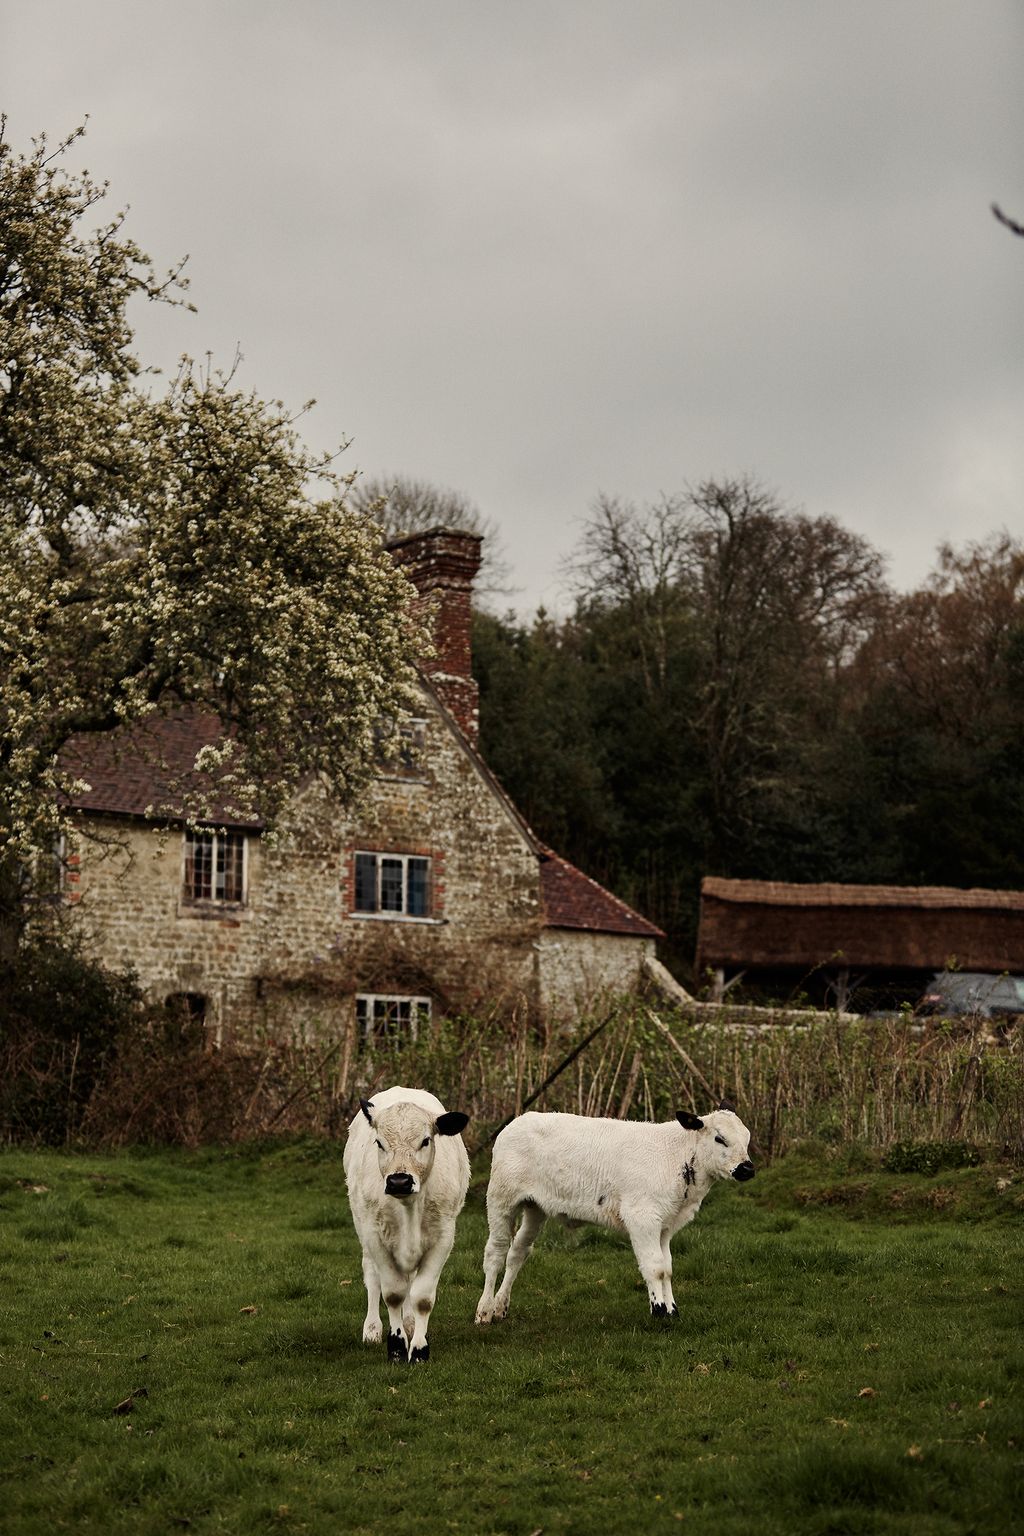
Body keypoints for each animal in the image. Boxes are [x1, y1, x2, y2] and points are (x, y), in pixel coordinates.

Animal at [344, 1085, 470, 1363]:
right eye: (379, 1142)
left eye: (425, 1140)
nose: (399, 1181)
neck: (409, 1209)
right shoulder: (375, 1237)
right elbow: (392, 1293)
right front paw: (397, 1347)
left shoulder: (443, 1238)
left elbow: (422, 1297)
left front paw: (420, 1348)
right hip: (362, 1229)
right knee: (372, 1277)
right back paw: (372, 1328)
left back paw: (411, 1324)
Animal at [474, 1102, 754, 1325]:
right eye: (719, 1138)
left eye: (747, 1138)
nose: (747, 1168)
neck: (677, 1156)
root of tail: (518, 1121)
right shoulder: (641, 1217)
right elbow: (655, 1267)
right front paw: (659, 1312)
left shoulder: (666, 1225)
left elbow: (667, 1267)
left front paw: (672, 1310)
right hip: (501, 1199)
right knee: (495, 1253)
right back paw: (484, 1311)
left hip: (535, 1208)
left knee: (517, 1253)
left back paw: (500, 1306)